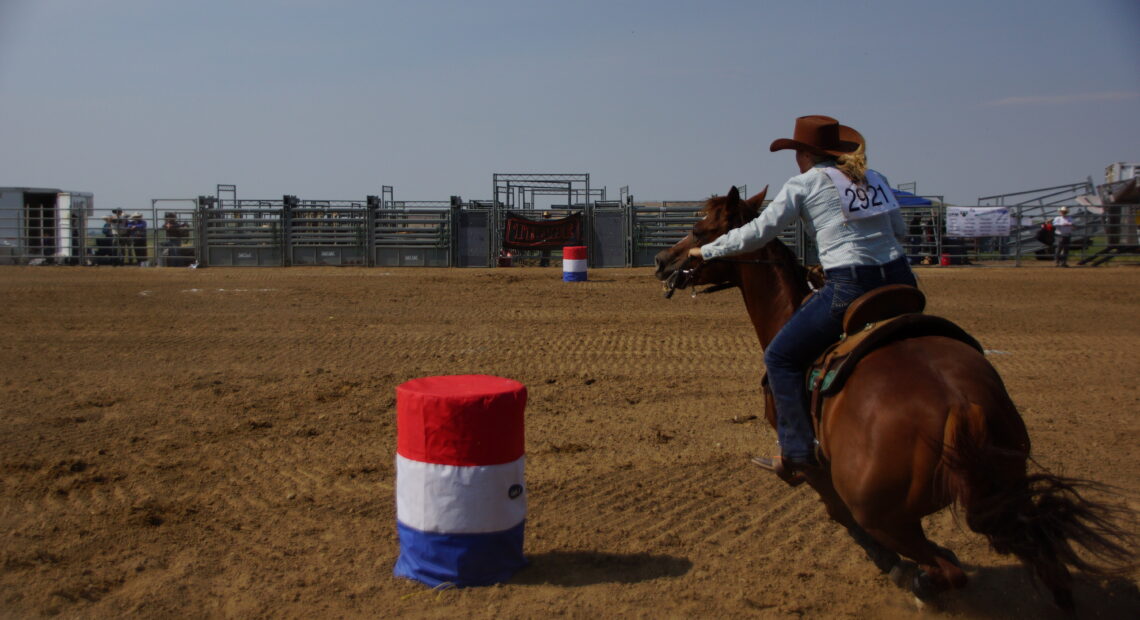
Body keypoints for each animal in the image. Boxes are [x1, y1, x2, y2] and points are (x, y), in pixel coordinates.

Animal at [656, 185, 1135, 610]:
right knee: (1046, 564)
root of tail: (961, 405)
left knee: (944, 568)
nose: (662, 261)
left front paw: (891, 565)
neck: (787, 313)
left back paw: (919, 578)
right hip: (1007, 486)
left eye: (699, 230)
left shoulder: (816, 469)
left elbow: (837, 514)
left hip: (885, 514)